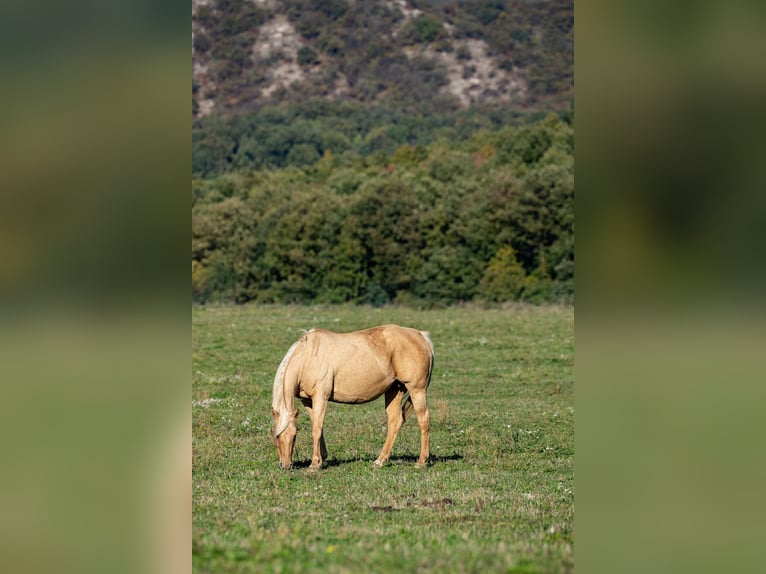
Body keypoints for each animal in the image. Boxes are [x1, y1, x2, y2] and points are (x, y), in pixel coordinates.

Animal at [270, 324, 434, 471]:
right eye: (277, 436)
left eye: (294, 435)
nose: (285, 465)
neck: (308, 357)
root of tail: (421, 335)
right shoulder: (308, 401)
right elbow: (318, 427)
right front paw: (322, 458)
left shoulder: (320, 397)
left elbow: (316, 429)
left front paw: (315, 464)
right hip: (395, 390)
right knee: (395, 421)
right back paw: (380, 461)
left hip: (416, 390)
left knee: (423, 419)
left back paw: (421, 461)